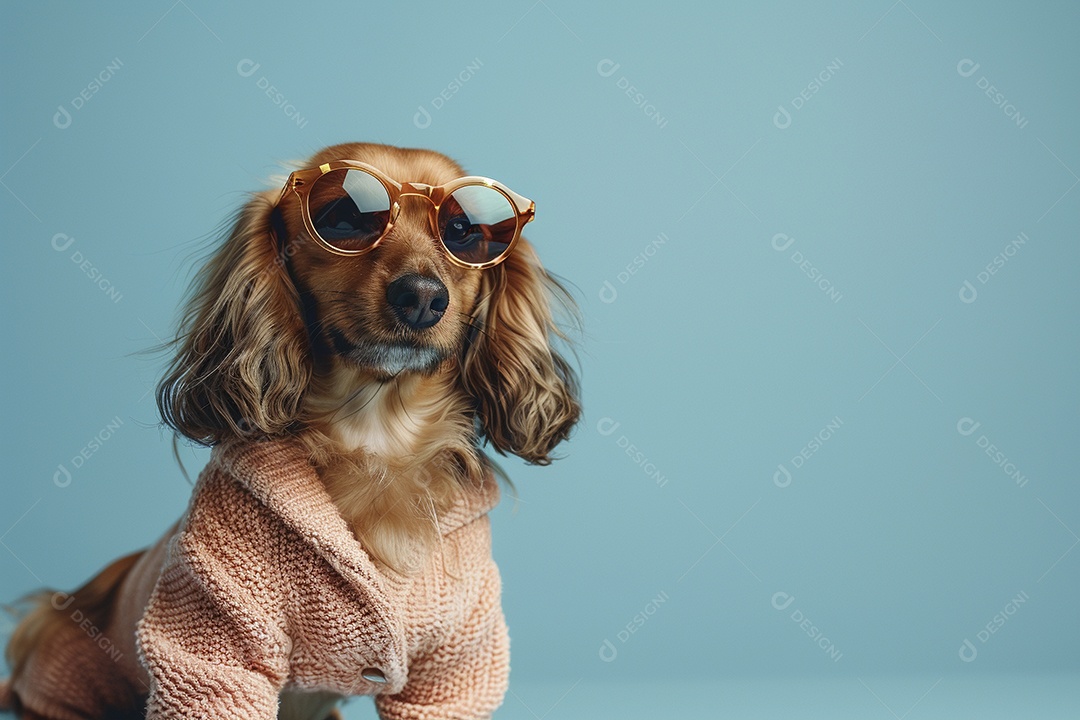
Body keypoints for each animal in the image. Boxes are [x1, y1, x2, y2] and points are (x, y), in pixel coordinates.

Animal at [2, 143, 583, 716]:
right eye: (345, 217)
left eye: (464, 231)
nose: (422, 297)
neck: (376, 433)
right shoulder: (216, 638)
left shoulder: (455, 660)